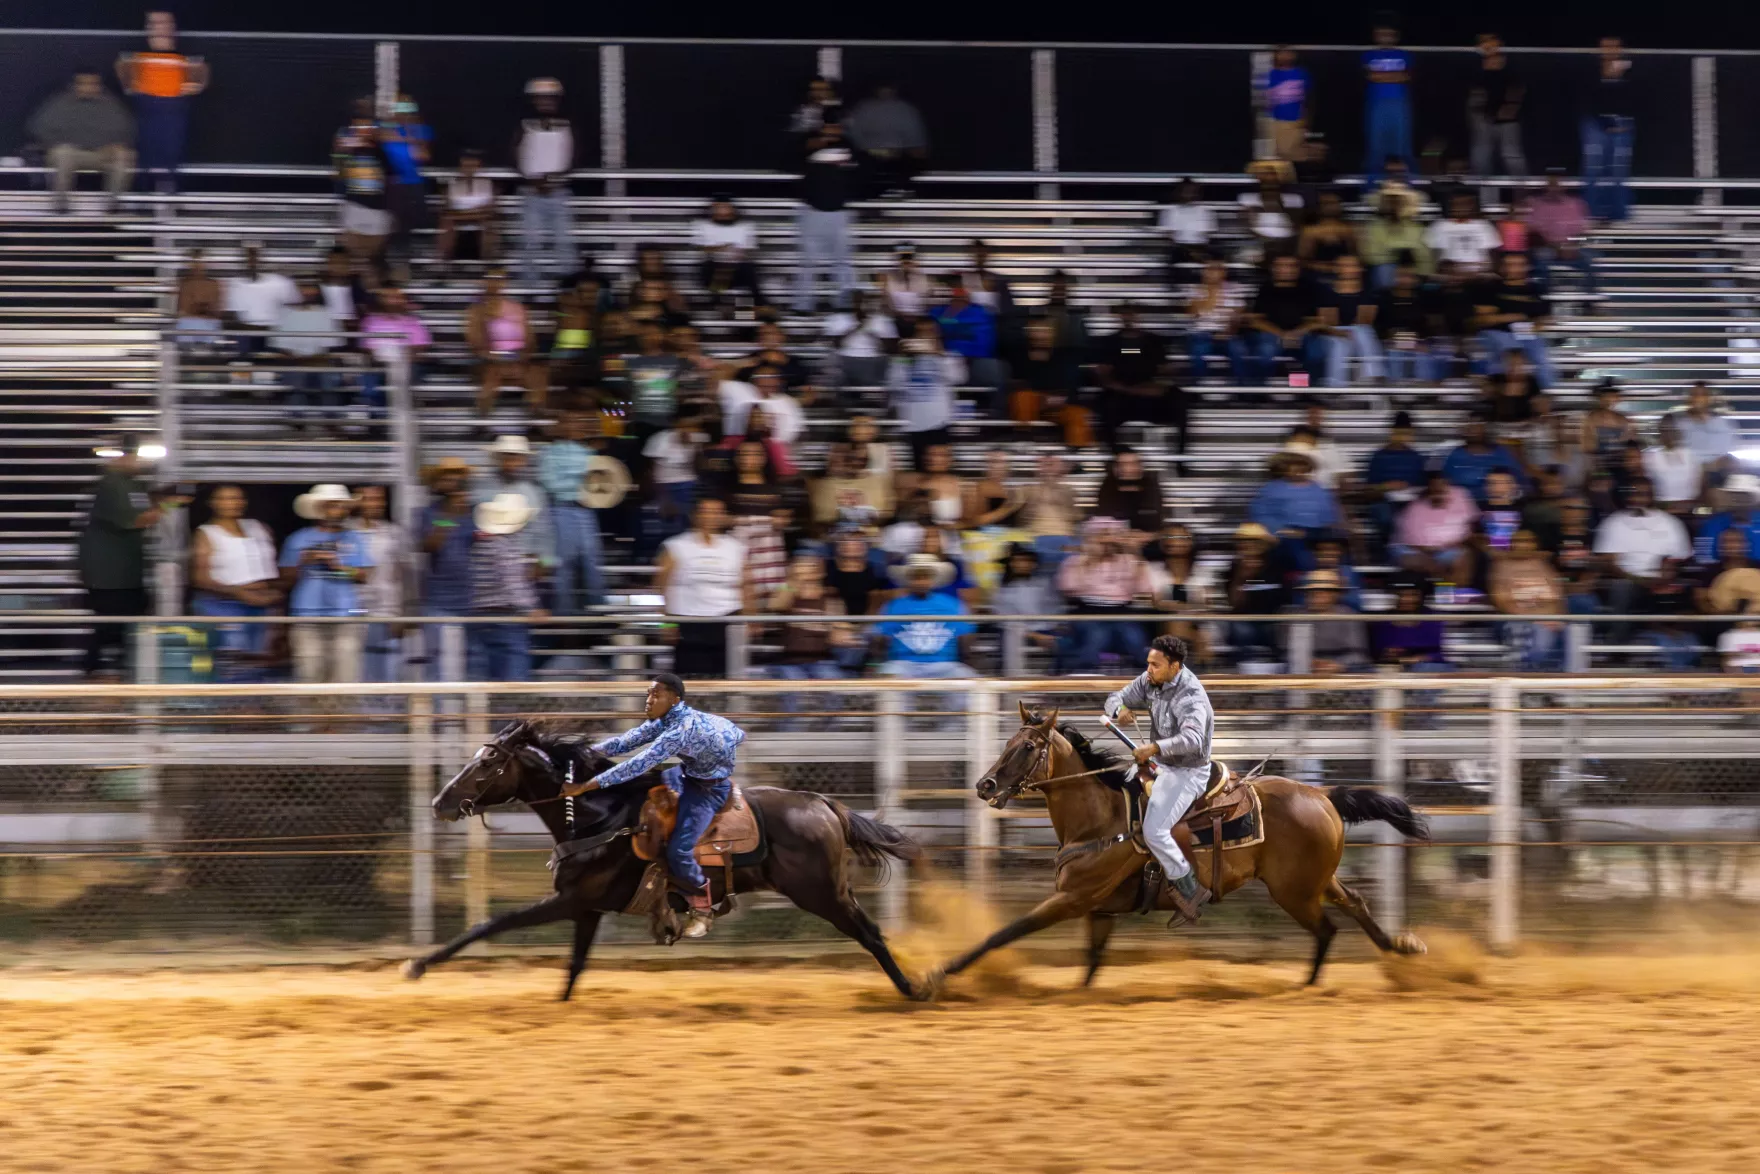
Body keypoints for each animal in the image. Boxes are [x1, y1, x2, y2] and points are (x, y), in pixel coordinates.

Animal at [397, 725, 922, 999]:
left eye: (487, 763)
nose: (440, 803)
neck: (600, 818)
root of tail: (824, 804)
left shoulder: (569, 901)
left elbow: (492, 923)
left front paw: (418, 965)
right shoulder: (587, 909)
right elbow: (575, 964)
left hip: (822, 895)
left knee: (871, 935)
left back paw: (915, 990)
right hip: (832, 891)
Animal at [943, 707, 1422, 992]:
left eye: (1026, 747)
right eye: (1007, 743)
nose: (985, 784)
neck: (1102, 819)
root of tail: (1322, 794)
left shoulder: (1071, 900)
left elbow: (1006, 932)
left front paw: (940, 975)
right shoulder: (1100, 911)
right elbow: (1091, 964)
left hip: (1295, 892)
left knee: (1327, 928)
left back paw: (1308, 987)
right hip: (1316, 880)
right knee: (1354, 904)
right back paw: (1400, 949)